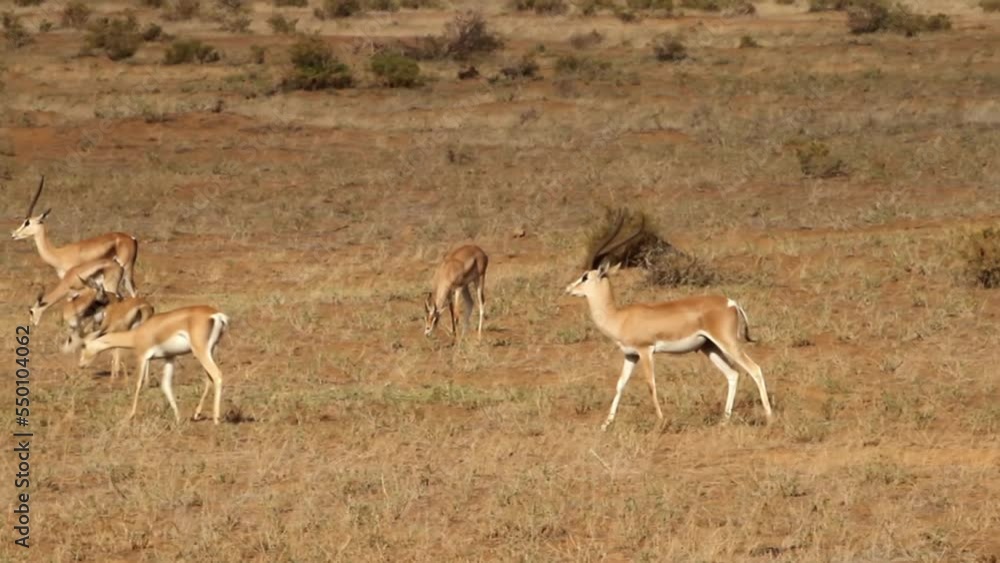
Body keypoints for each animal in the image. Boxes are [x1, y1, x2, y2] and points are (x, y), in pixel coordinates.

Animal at [79, 306, 230, 425]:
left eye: (84, 345)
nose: (81, 365)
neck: (136, 335)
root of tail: (216, 315)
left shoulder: (142, 357)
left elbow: (138, 384)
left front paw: (130, 416)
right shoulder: (169, 357)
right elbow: (166, 385)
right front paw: (178, 418)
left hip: (200, 351)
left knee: (217, 375)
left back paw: (216, 419)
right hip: (211, 350)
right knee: (209, 378)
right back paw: (197, 414)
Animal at [564, 217, 772, 431]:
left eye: (585, 277)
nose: (568, 288)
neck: (619, 317)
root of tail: (731, 302)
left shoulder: (645, 351)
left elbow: (651, 384)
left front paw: (661, 421)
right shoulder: (630, 355)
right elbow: (620, 384)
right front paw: (606, 424)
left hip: (727, 343)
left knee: (754, 368)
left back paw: (769, 417)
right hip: (709, 347)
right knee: (733, 374)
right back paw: (724, 420)